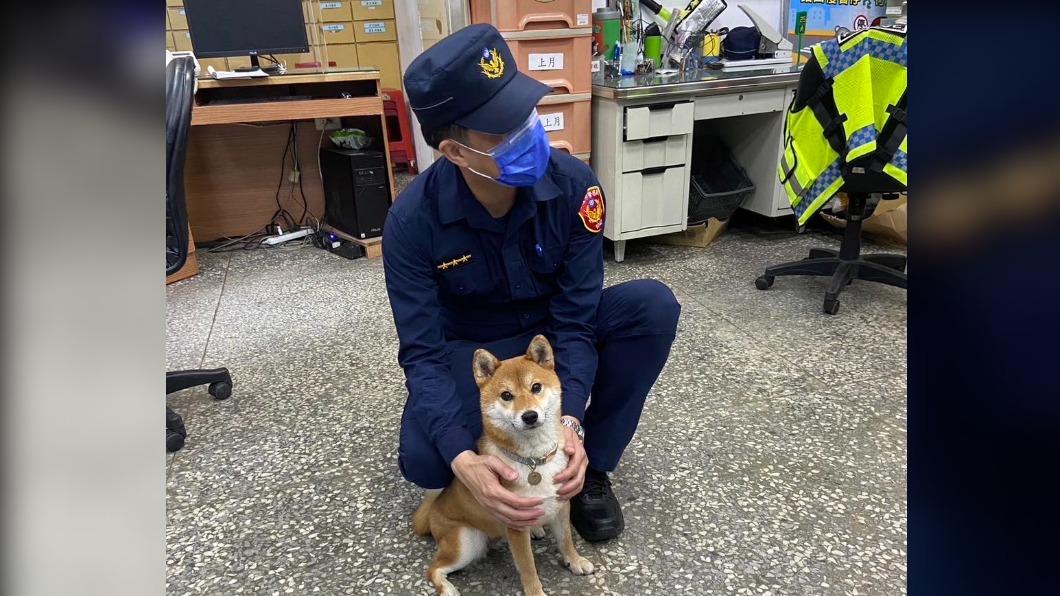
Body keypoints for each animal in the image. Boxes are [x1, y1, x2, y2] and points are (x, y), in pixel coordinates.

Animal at [411, 335, 597, 593]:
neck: (534, 460)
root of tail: (431, 513)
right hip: (467, 544)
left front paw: (575, 560)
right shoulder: (515, 526)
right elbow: (528, 566)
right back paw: (447, 588)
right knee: (434, 569)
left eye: (536, 387)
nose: (529, 416)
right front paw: (536, 592)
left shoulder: (561, 505)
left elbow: (566, 540)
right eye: (506, 396)